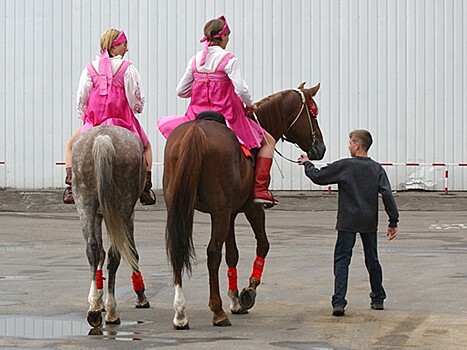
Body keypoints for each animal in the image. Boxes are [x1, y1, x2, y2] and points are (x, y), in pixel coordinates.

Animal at [72, 126, 151, 328]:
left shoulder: (98, 215)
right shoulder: (128, 216)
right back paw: (112, 311)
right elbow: (132, 253)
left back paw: (94, 309)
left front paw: (98, 301)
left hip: (85, 205)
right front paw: (141, 297)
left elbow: (99, 252)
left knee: (92, 249)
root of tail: (103, 138)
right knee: (115, 254)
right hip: (123, 209)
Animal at [164, 82, 326, 328]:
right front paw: (248, 292)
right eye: (313, 113)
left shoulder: (229, 213)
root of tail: (196, 131)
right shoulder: (251, 208)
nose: (320, 148)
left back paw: (180, 313)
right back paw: (217, 311)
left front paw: (235, 300)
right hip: (219, 212)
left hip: (182, 208)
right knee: (212, 253)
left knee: (178, 249)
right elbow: (263, 245)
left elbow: (232, 254)